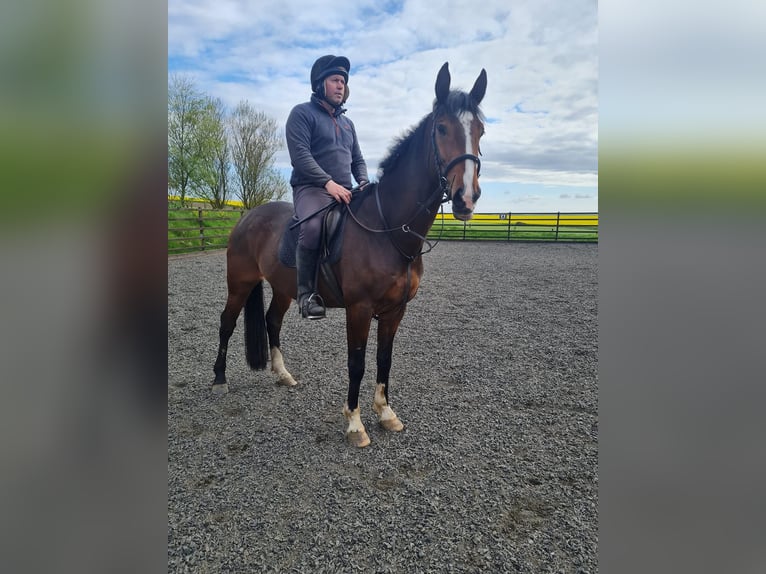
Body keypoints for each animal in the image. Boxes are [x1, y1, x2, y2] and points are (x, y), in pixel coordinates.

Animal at [212, 62, 487, 447]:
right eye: (442, 127)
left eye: (480, 131)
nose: (466, 198)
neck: (387, 229)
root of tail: (248, 216)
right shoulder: (359, 309)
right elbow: (356, 363)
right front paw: (355, 424)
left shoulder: (395, 310)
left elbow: (384, 359)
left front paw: (385, 413)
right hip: (239, 282)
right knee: (226, 323)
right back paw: (219, 380)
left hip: (283, 288)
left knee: (271, 321)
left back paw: (282, 374)